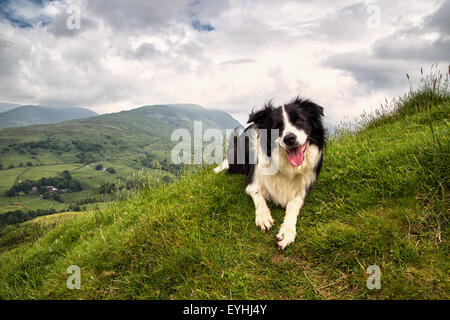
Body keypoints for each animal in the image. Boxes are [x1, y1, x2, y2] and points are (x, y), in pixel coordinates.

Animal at [214, 97, 324, 250]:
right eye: (277, 127)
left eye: (300, 121)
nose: (289, 138)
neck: (286, 166)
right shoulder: (252, 180)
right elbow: (257, 194)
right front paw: (263, 216)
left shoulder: (303, 188)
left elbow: (294, 205)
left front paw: (287, 231)